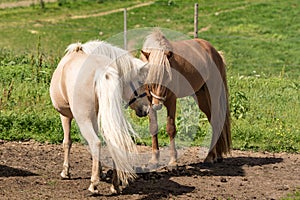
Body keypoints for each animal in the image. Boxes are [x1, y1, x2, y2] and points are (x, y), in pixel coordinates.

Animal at [141, 29, 232, 167]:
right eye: (149, 75)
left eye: (167, 75)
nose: (158, 105)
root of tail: (216, 53)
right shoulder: (150, 102)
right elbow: (153, 127)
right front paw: (154, 160)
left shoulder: (171, 101)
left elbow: (171, 128)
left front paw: (173, 161)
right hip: (202, 99)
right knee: (214, 123)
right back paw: (217, 156)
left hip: (213, 96)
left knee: (216, 123)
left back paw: (210, 157)